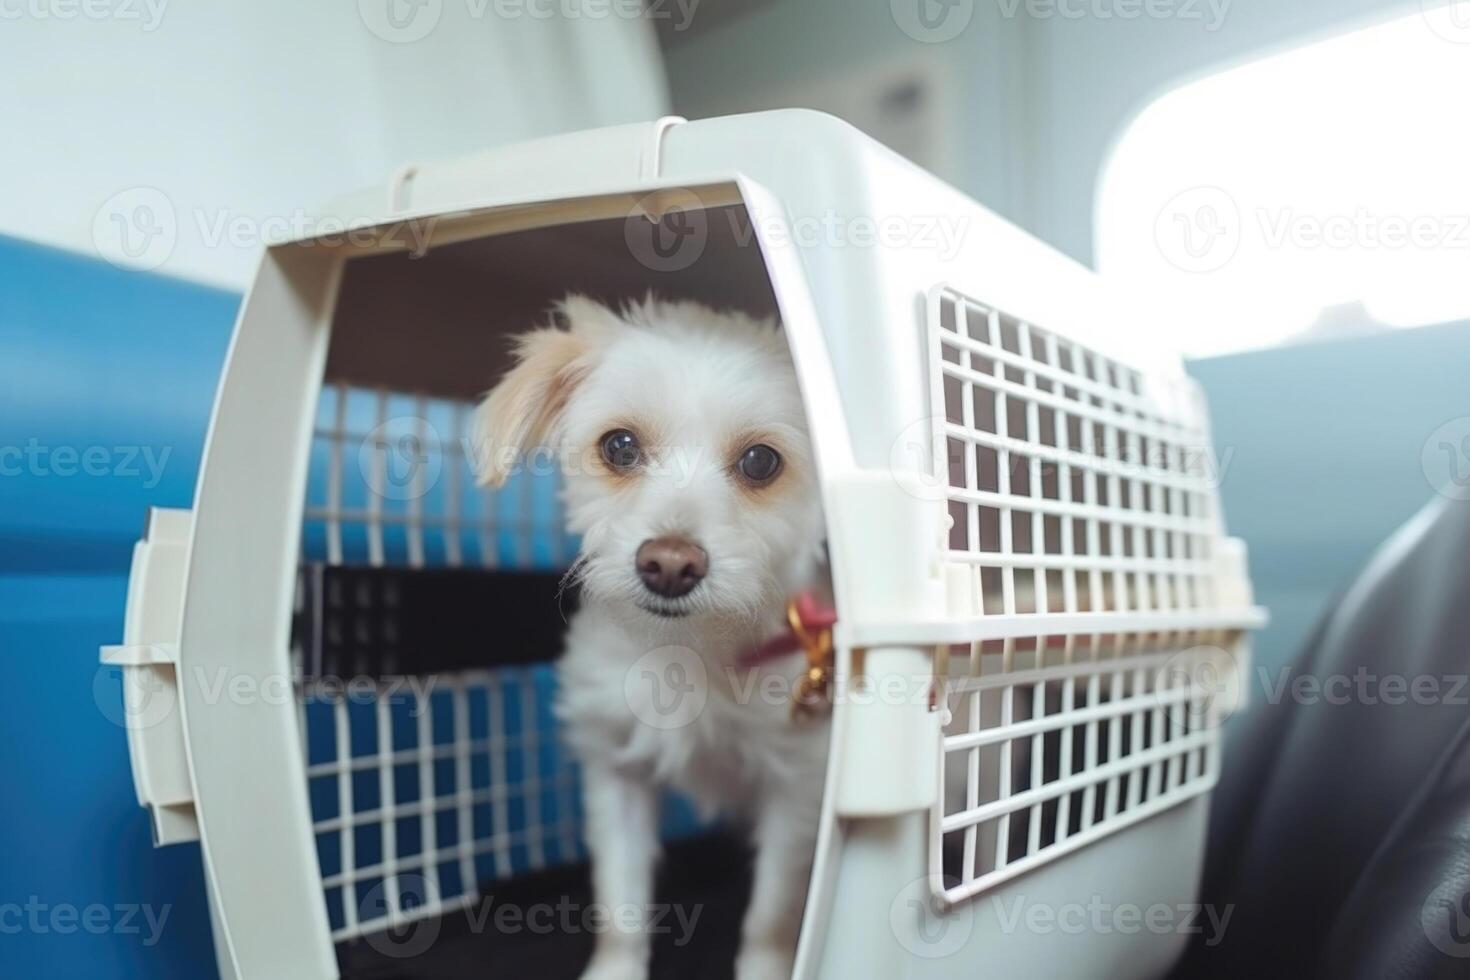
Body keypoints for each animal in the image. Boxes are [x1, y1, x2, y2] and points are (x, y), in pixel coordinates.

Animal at [476, 295, 834, 980]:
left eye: (761, 462)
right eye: (619, 447)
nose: (669, 564)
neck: (693, 652)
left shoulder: (797, 787)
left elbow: (770, 916)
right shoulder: (615, 774)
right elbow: (620, 906)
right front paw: (614, 971)